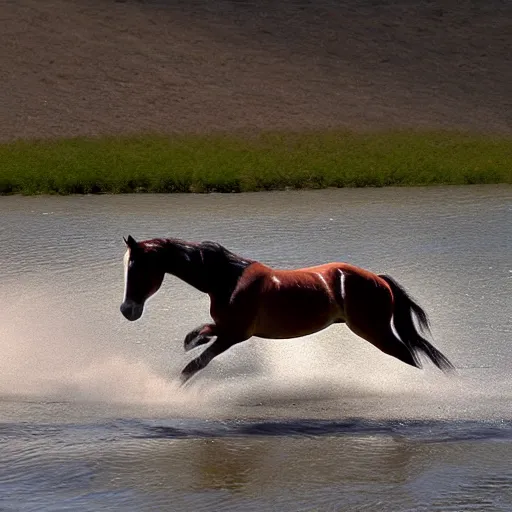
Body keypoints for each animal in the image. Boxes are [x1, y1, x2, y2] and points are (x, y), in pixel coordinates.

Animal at [121, 236, 456, 384]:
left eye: (136, 267)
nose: (127, 310)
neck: (226, 279)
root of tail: (380, 280)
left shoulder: (236, 334)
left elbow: (195, 365)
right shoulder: (231, 329)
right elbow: (199, 335)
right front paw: (193, 340)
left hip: (376, 332)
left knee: (410, 359)